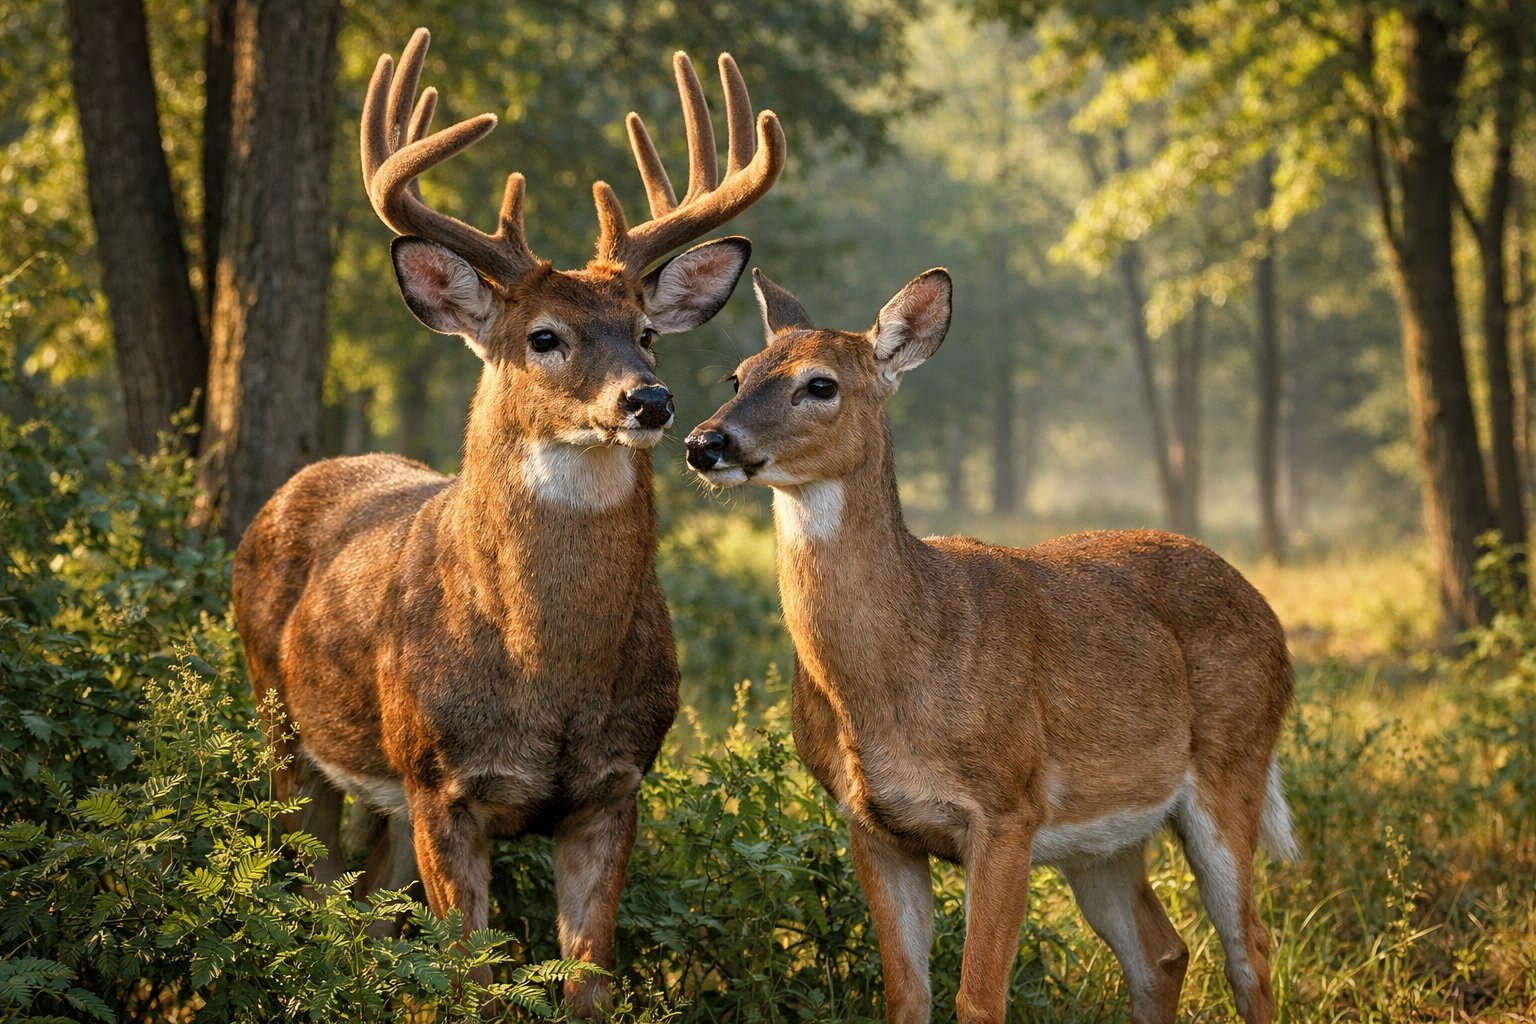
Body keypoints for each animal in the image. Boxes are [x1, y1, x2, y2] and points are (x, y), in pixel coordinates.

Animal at [231, 28, 784, 1016]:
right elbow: (472, 986)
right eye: (544, 337)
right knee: (308, 890)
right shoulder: (440, 783)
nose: (649, 400)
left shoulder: (614, 787)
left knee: (365, 908)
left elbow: (587, 982)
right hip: (284, 723)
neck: (550, 676)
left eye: (647, 331)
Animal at [683, 268, 1297, 1024]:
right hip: (1103, 837)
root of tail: (1269, 616)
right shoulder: (870, 823)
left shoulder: (1008, 806)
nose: (704, 442)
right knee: (1162, 951)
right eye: (737, 374)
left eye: (820, 384)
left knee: (1251, 949)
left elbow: (979, 998)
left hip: (1233, 763)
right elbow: (906, 995)